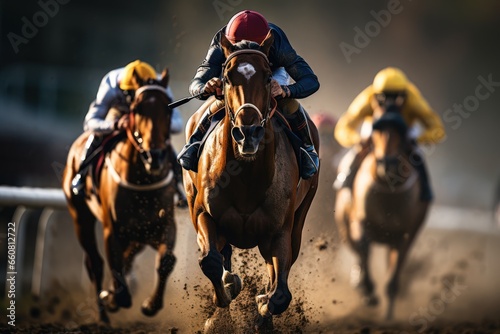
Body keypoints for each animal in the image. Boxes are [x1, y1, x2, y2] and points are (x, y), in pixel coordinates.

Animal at [62, 70, 177, 324]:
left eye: (168, 108)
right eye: (137, 109)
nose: (155, 156)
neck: (142, 181)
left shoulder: (163, 224)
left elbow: (166, 261)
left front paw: (151, 305)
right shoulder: (112, 230)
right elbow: (114, 267)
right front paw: (114, 298)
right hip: (80, 217)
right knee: (95, 263)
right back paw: (103, 313)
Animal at [182, 32, 318, 326]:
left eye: (267, 77)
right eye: (226, 77)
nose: (248, 134)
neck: (245, 179)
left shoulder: (279, 231)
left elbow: (280, 294)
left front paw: (263, 306)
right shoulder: (203, 213)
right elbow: (210, 261)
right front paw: (223, 300)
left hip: (300, 217)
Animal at [334, 107, 428, 320]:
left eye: (401, 132)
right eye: (376, 131)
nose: (388, 164)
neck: (389, 191)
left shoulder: (406, 234)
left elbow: (394, 274)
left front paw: (388, 316)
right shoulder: (361, 222)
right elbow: (364, 248)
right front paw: (368, 292)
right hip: (344, 226)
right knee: (357, 250)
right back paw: (359, 283)